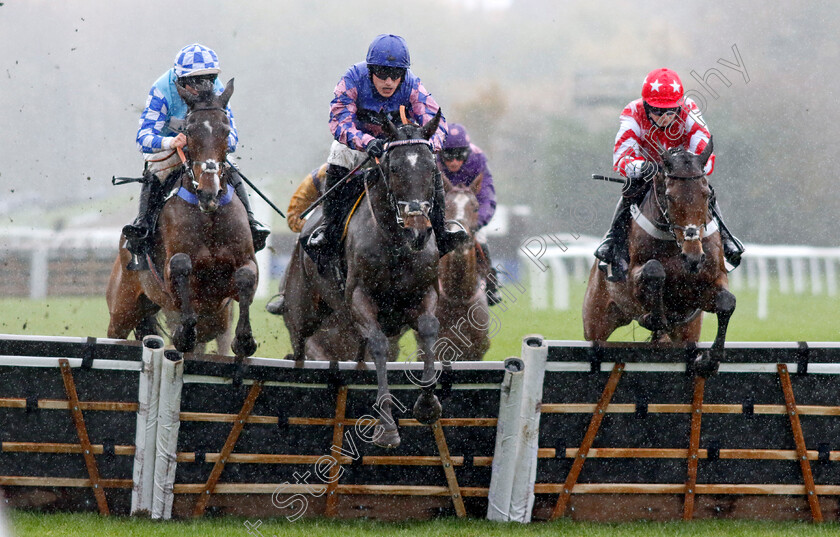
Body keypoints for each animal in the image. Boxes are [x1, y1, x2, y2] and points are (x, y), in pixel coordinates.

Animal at [106, 79, 256, 358]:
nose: (209, 191)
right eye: (189, 130)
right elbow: (180, 264)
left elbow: (246, 277)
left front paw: (244, 340)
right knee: (116, 333)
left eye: (225, 129)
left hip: (212, 319)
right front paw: (184, 334)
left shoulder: (241, 268)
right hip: (123, 309)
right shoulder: (171, 274)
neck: (209, 217)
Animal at [284, 110, 446, 448]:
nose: (418, 230)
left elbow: (428, 329)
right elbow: (380, 346)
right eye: (394, 168)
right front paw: (386, 427)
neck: (396, 243)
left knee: (358, 355)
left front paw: (427, 404)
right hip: (302, 311)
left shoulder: (425, 294)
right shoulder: (360, 299)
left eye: (431, 168)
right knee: (300, 349)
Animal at [584, 139, 736, 372]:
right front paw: (652, 317)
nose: (693, 257)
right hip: (596, 320)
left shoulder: (708, 284)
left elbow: (727, 302)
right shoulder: (632, 277)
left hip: (688, 330)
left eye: (706, 195)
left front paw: (710, 359)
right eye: (670, 197)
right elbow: (654, 270)